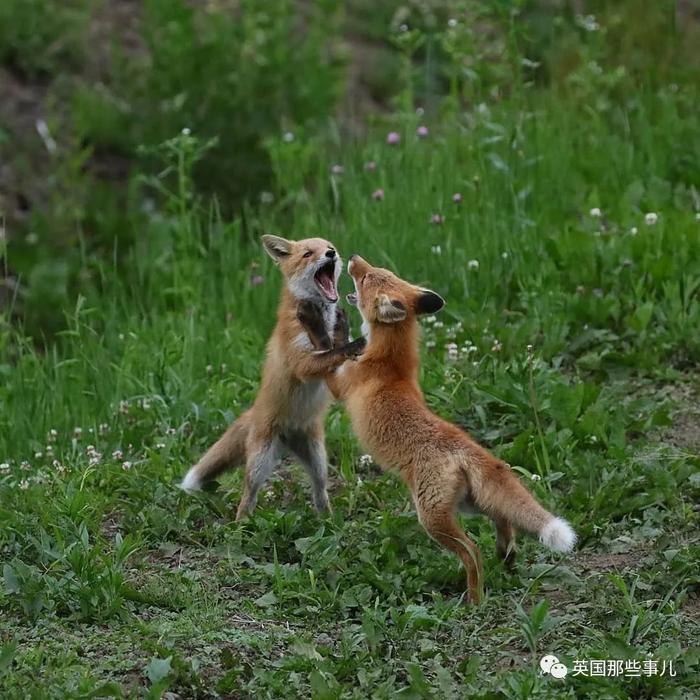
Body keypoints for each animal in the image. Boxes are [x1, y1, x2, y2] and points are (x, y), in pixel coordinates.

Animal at [180, 237, 364, 520]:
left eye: (328, 246)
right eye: (308, 254)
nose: (331, 253)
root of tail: (254, 411)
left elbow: (336, 347)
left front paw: (342, 330)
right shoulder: (301, 362)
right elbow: (330, 350)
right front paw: (342, 337)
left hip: (318, 461)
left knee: (320, 491)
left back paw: (329, 520)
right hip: (259, 464)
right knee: (247, 496)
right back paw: (241, 525)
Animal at [322, 256, 576, 600]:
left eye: (367, 278)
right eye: (378, 271)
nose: (353, 259)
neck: (390, 361)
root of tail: (467, 447)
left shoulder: (341, 384)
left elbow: (328, 355)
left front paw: (328, 329)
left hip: (433, 519)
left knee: (473, 552)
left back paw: (474, 599)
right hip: (469, 504)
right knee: (503, 518)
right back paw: (506, 554)